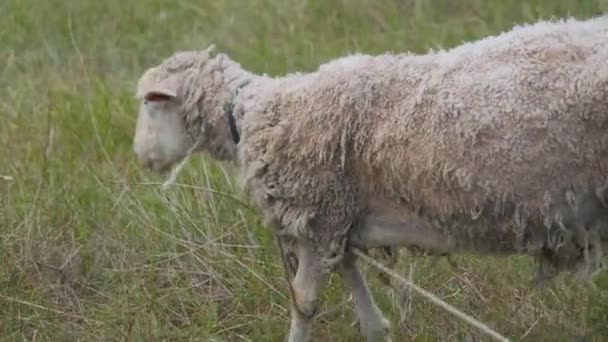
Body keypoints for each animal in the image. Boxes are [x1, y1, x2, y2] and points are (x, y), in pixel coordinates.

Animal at [132, 15, 608, 342]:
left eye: (151, 103)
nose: (140, 157)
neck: (251, 115)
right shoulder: (338, 217)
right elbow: (361, 301)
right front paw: (377, 324)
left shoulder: (318, 209)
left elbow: (303, 301)